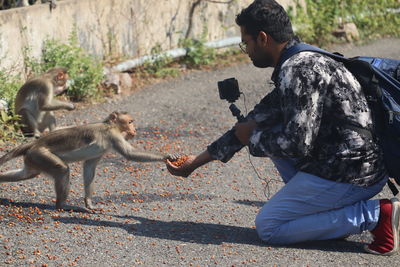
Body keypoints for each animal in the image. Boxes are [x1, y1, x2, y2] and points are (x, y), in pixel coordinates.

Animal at [0, 111, 178, 211]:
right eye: (129, 122)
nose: (134, 129)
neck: (110, 125)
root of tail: (34, 143)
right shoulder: (113, 136)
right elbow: (130, 154)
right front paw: (165, 157)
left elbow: (89, 168)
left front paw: (89, 202)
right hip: (40, 154)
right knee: (62, 170)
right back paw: (61, 206)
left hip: (33, 158)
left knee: (27, 174)